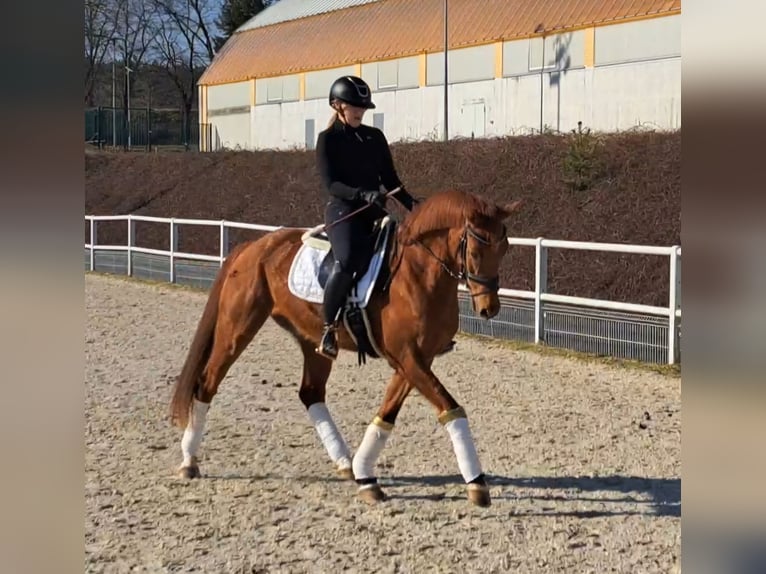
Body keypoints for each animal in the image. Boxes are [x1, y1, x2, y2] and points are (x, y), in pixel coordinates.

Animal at [170, 190, 520, 508]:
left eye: (504, 248)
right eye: (476, 248)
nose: (489, 308)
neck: (417, 273)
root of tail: (253, 247)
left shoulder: (416, 360)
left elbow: (387, 415)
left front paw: (365, 475)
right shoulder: (408, 357)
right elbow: (452, 409)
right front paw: (477, 483)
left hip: (312, 340)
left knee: (311, 393)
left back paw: (345, 464)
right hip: (237, 328)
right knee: (207, 382)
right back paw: (188, 461)